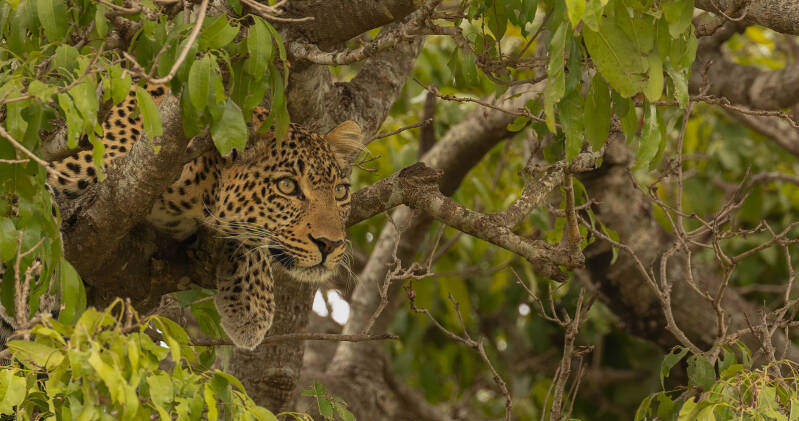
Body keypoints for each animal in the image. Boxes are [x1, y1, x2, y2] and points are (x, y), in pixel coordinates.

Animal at [41, 84, 362, 350]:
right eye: (287, 186)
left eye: (340, 192)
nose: (330, 244)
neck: (198, 185)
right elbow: (38, 213)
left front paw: (252, 306)